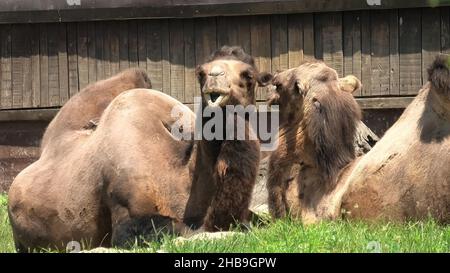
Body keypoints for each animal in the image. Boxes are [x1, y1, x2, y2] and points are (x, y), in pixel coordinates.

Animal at [7, 45, 270, 251]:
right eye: (201, 73)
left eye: (249, 75)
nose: (215, 78)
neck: (182, 173)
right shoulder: (130, 216)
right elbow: (184, 231)